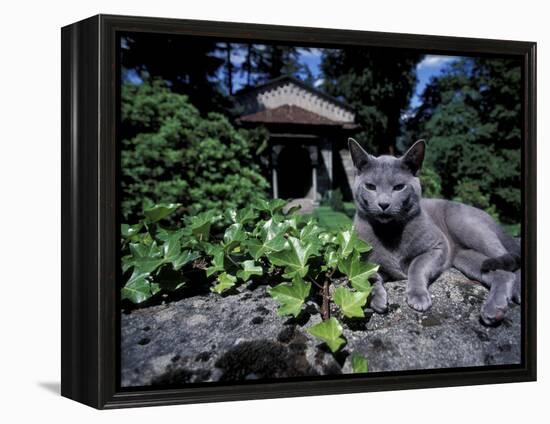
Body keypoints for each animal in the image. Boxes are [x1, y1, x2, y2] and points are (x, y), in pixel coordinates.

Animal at [350, 139, 520, 324]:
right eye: (370, 186)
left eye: (399, 187)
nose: (383, 204)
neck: (390, 233)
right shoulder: (365, 263)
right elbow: (366, 278)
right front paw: (377, 299)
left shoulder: (437, 247)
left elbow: (417, 266)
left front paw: (418, 297)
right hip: (466, 258)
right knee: (502, 273)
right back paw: (495, 310)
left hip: (469, 228)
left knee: (510, 263)